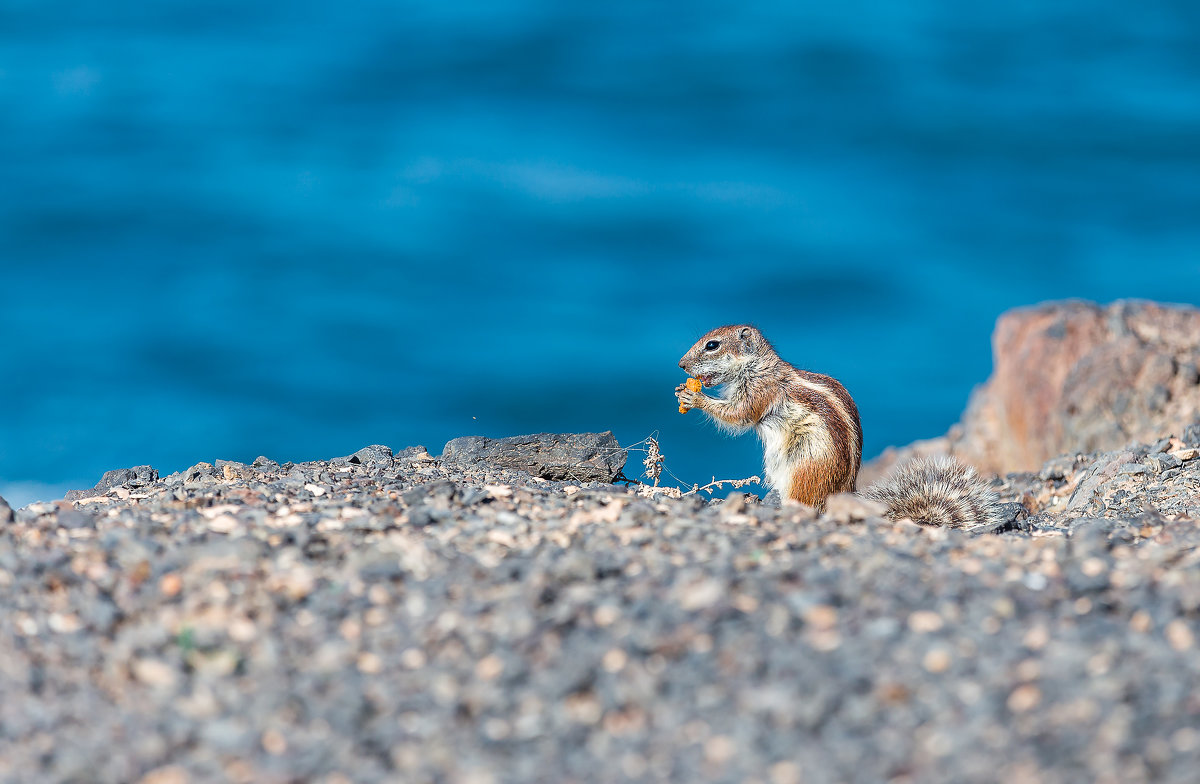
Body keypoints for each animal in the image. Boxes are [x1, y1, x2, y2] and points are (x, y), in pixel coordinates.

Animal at [676, 324, 1003, 525]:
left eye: (712, 345)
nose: (681, 364)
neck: (758, 365)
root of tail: (843, 494)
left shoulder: (759, 390)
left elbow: (738, 415)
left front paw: (694, 397)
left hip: (804, 470)